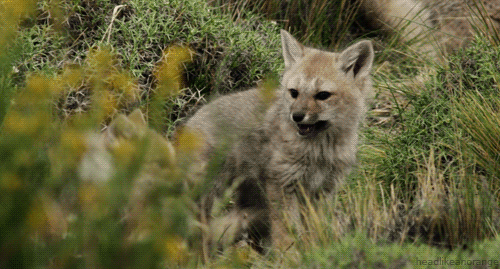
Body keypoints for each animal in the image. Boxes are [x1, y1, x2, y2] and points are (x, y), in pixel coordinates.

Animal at [178, 29, 374, 253]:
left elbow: (315, 232)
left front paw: (316, 252)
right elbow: (286, 233)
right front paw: (290, 256)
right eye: (294, 93)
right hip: (210, 193)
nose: (296, 116)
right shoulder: (283, 184)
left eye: (323, 95)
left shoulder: (323, 191)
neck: (320, 152)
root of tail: (190, 121)